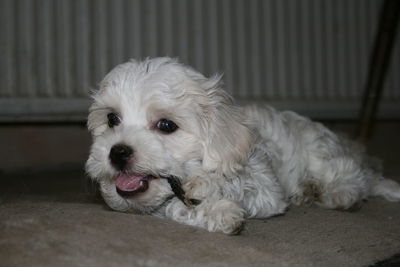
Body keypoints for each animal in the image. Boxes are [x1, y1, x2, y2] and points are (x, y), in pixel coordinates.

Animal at [86, 57, 400, 234]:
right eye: (112, 119)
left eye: (165, 125)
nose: (118, 152)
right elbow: (174, 207)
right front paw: (218, 212)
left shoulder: (264, 187)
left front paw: (204, 186)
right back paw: (307, 191)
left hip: (322, 153)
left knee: (353, 178)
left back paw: (338, 194)